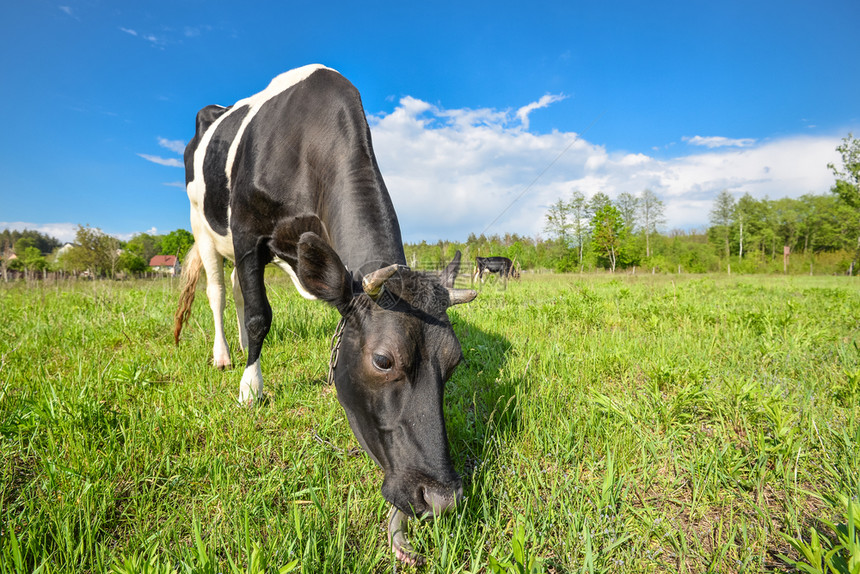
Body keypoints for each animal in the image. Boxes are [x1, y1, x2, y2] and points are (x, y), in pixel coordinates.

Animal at [173, 65, 478, 564]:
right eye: (382, 360)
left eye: (455, 362)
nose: (441, 500)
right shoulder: (246, 233)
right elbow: (260, 315)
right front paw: (250, 388)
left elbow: (255, 307)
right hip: (204, 225)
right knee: (219, 291)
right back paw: (225, 355)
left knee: (237, 290)